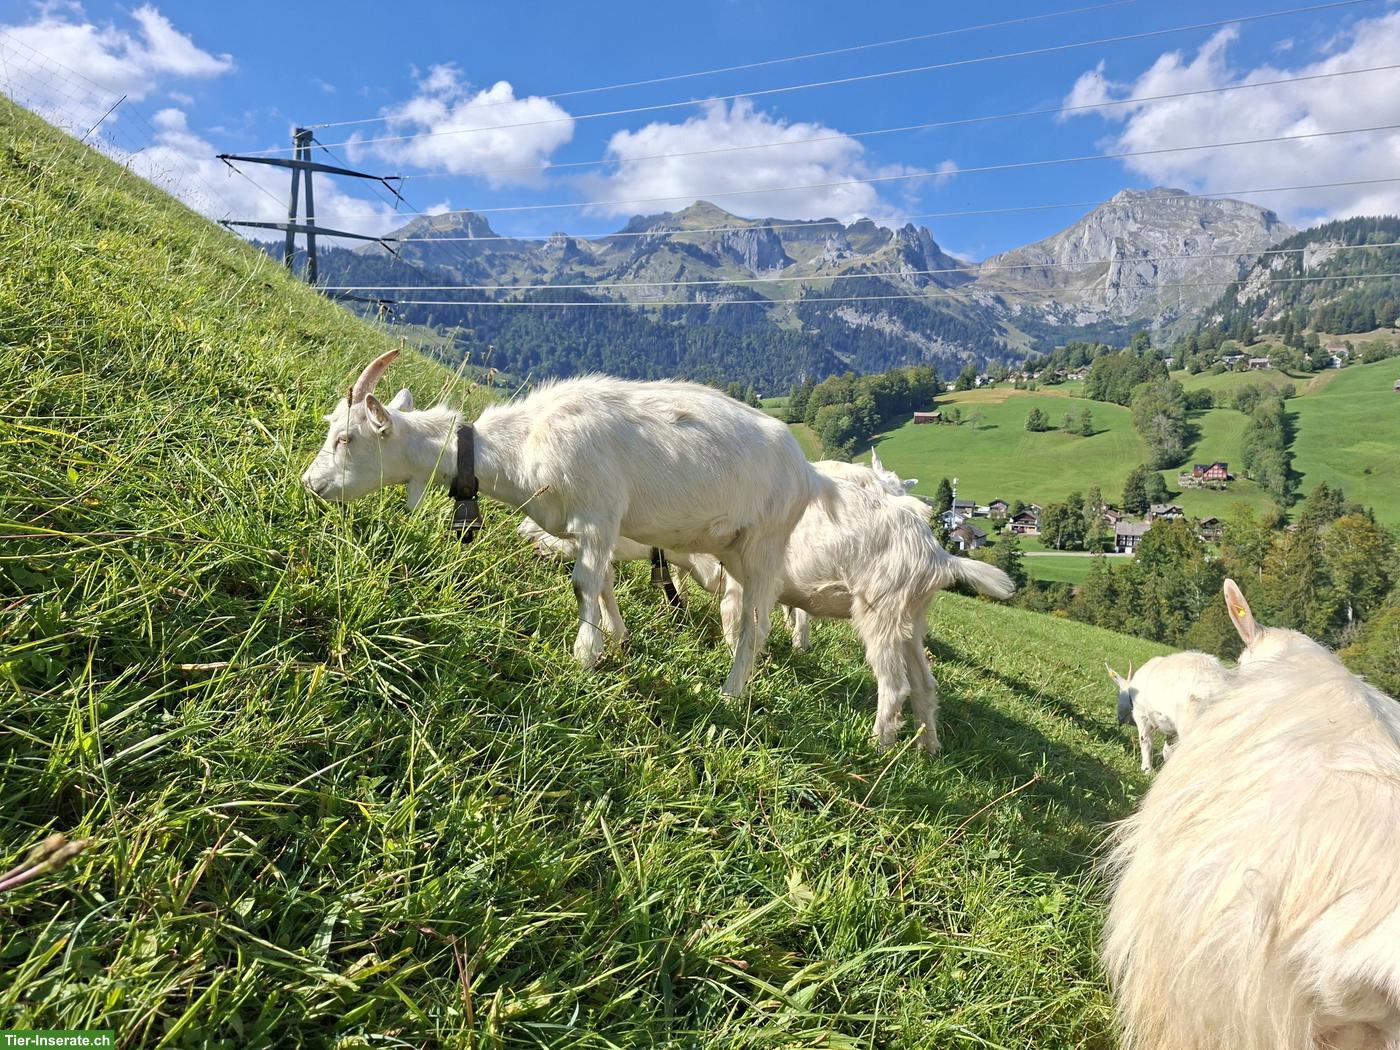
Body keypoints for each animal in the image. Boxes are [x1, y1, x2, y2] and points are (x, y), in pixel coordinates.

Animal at [301, 351, 832, 695]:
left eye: (346, 438)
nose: (311, 483)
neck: (526, 441)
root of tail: (807, 472)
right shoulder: (591, 530)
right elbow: (605, 582)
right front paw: (617, 638)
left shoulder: (598, 514)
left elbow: (583, 584)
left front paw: (583, 657)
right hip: (730, 550)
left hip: (764, 545)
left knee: (756, 624)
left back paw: (732, 693)